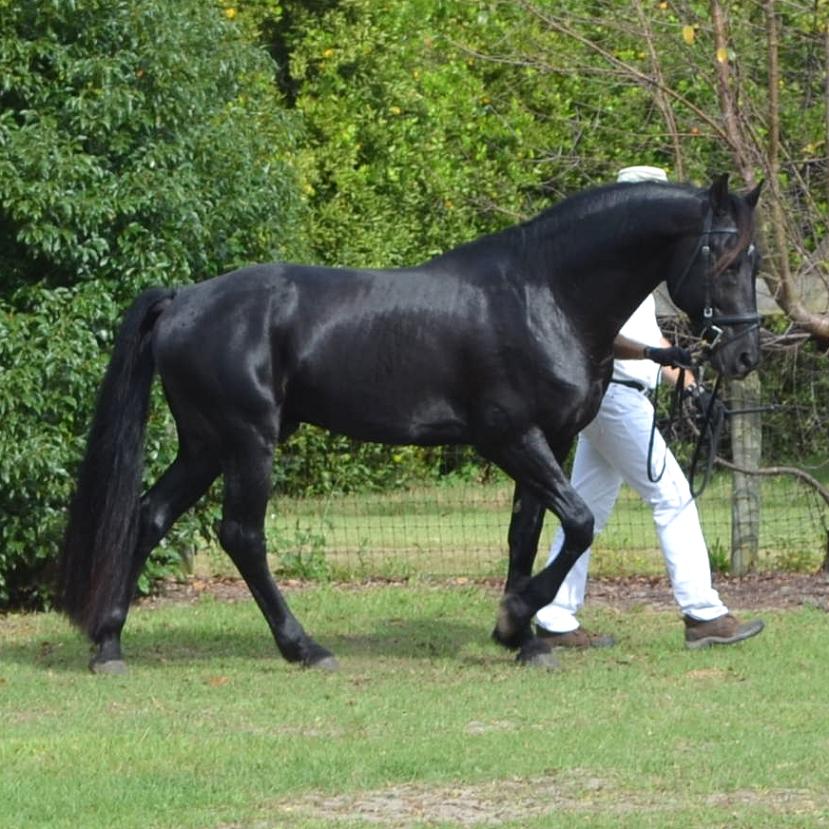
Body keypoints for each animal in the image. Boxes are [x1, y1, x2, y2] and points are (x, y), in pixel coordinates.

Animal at [59, 175, 764, 672]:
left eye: (752, 258)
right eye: (723, 257)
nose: (744, 356)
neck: (543, 294)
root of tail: (185, 299)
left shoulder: (552, 441)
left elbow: (529, 534)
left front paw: (525, 640)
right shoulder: (510, 439)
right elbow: (581, 524)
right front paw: (513, 619)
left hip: (206, 445)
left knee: (149, 516)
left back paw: (108, 645)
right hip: (247, 442)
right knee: (242, 536)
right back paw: (304, 647)